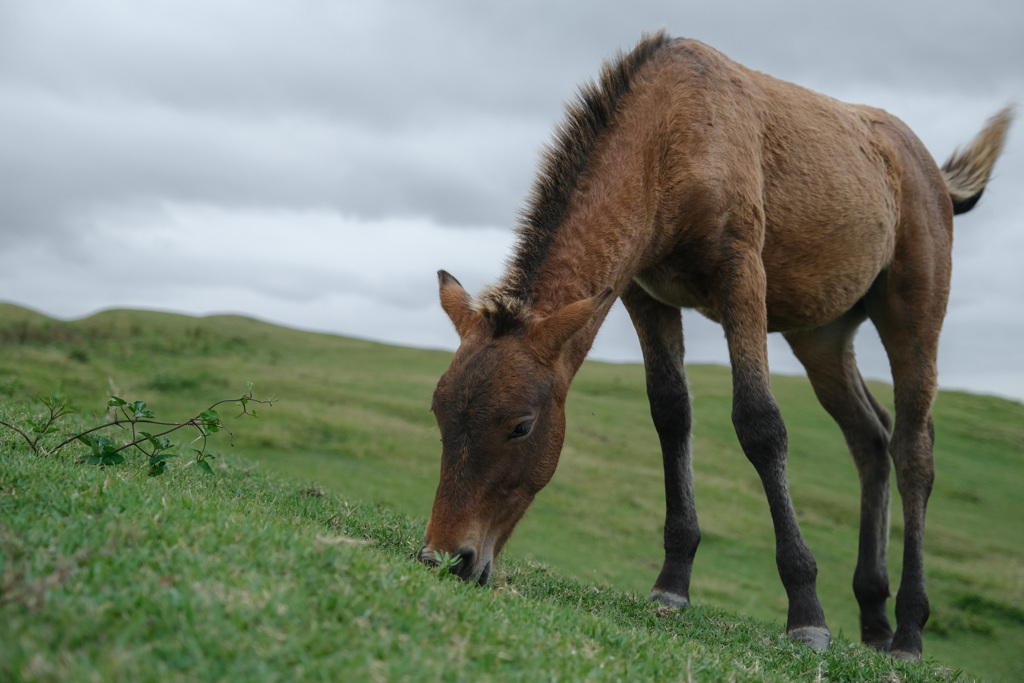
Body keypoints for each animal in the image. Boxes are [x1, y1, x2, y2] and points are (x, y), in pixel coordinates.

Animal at [417, 29, 1015, 659]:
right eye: (439, 413)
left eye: (522, 426)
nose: (447, 557)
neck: (672, 135)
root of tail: (934, 174)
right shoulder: (644, 294)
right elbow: (671, 414)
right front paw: (672, 582)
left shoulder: (742, 274)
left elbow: (760, 424)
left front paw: (806, 611)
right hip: (821, 335)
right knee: (870, 438)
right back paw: (873, 616)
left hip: (914, 314)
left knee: (913, 450)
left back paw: (908, 630)